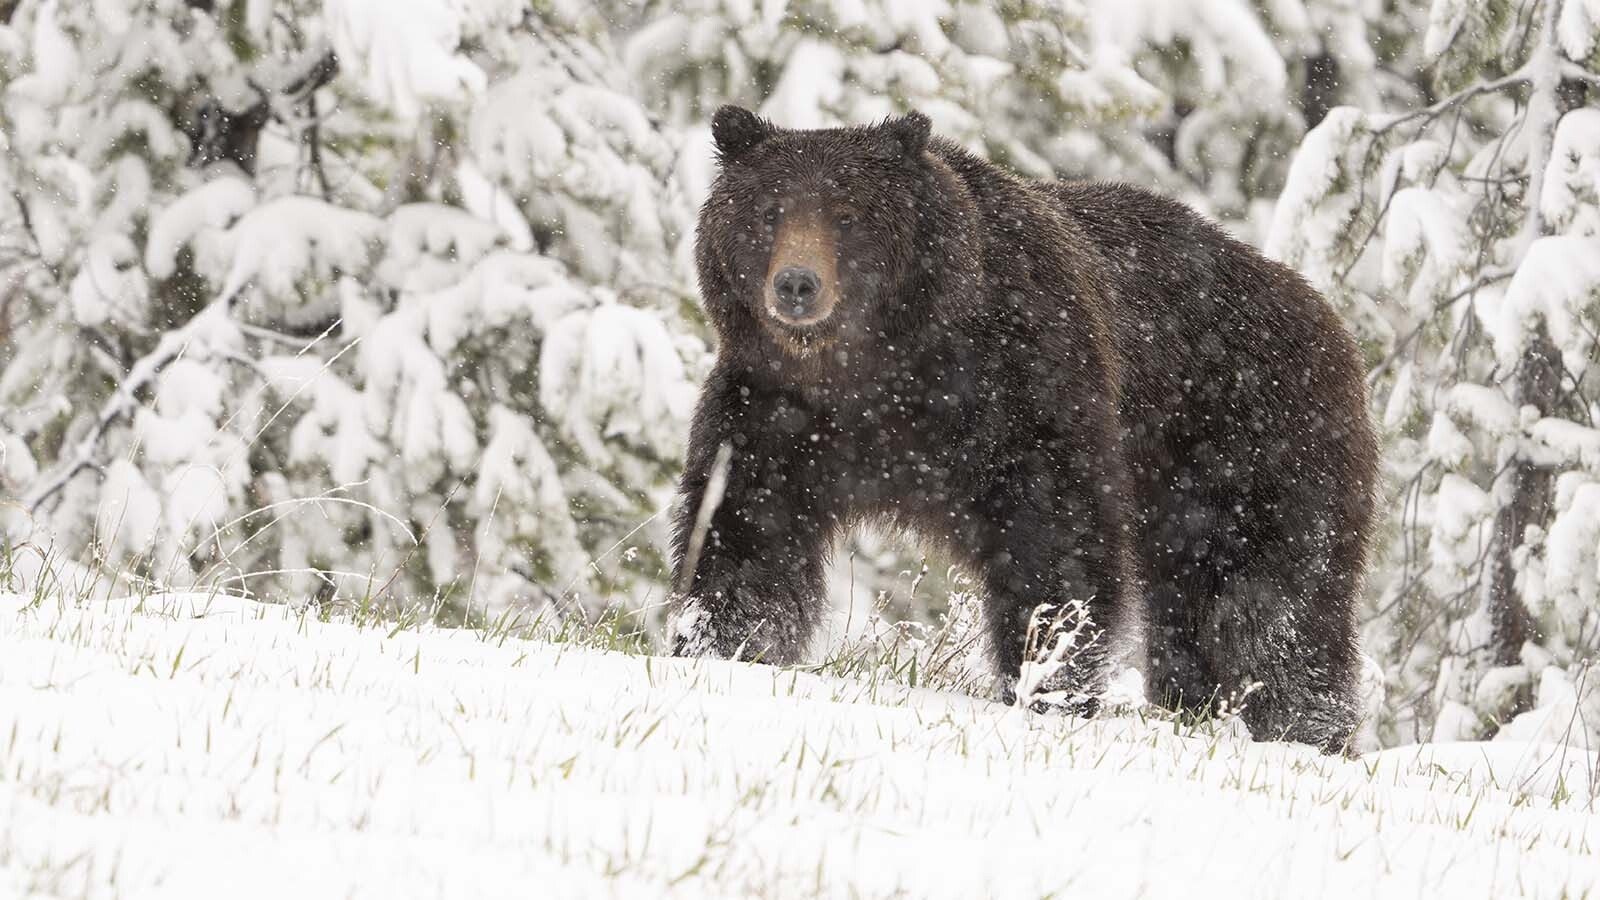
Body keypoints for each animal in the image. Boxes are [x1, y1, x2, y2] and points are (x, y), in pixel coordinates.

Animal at [668, 105, 1378, 753]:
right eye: (768, 211)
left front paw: (1049, 681)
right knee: (1192, 617)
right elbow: (745, 530)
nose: (796, 284)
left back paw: (1304, 730)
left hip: (1250, 445)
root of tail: (1323, 312)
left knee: (1272, 603)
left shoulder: (1023, 389)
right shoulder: (776, 413)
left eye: (848, 215)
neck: (879, 369)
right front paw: (720, 641)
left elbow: (1057, 541)